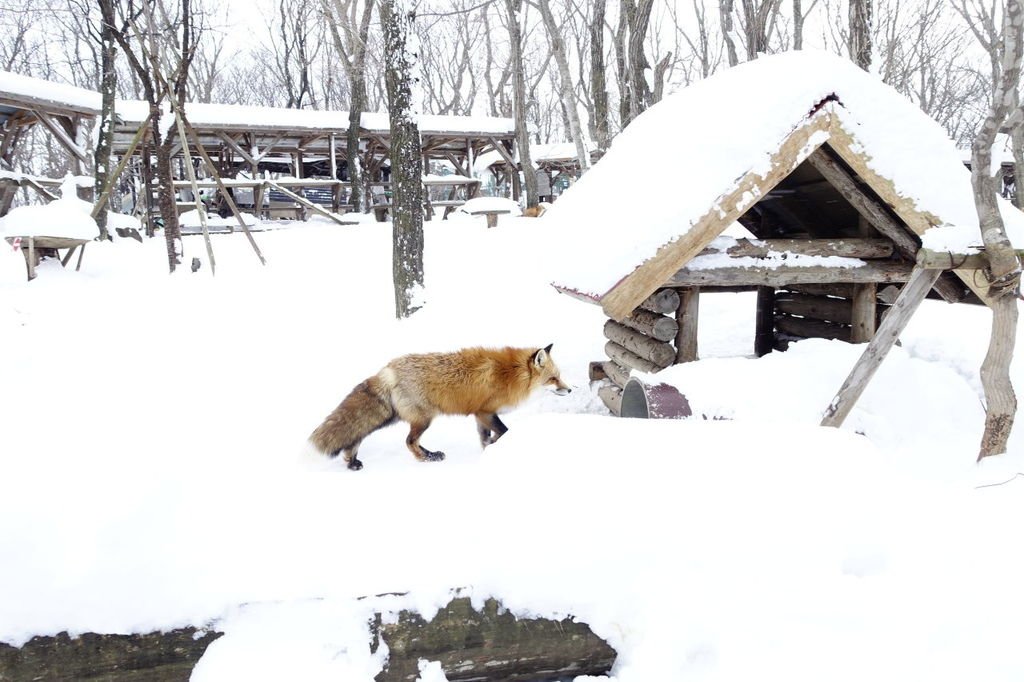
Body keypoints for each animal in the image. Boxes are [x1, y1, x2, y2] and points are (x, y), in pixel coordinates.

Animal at [307, 346, 573, 466]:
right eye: (553, 379)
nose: (570, 390)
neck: (511, 374)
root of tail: (388, 369)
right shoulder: (485, 411)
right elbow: (503, 432)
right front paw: (495, 447)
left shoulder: (480, 415)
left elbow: (485, 438)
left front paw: (488, 451)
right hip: (423, 419)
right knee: (409, 442)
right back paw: (427, 458)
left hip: (393, 416)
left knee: (356, 437)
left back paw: (351, 461)